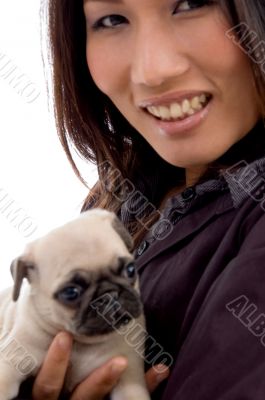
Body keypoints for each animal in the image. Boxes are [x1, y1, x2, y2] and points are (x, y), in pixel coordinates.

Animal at [0, 209, 150, 400]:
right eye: (71, 292)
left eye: (130, 270)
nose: (110, 295)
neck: (83, 344)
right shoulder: (12, 360)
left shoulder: (130, 378)